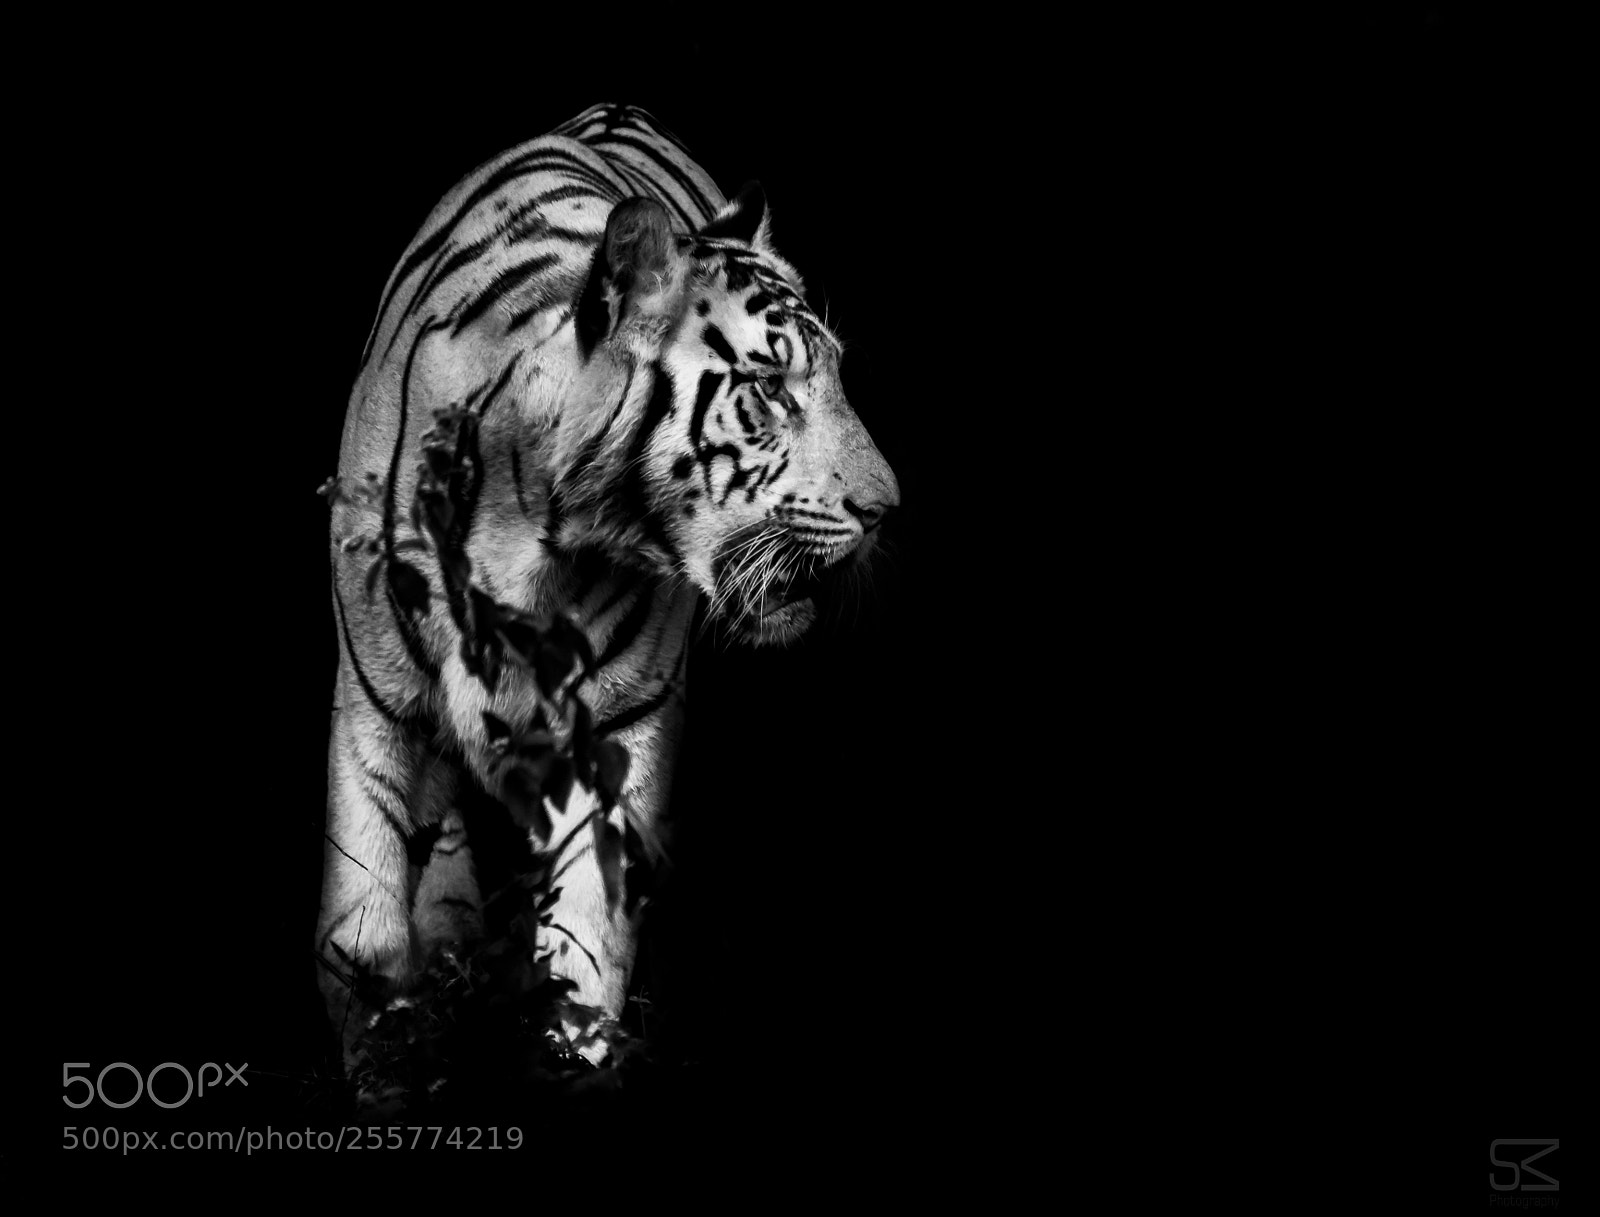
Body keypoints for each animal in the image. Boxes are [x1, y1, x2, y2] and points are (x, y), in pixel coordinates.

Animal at [318, 103, 898, 1067]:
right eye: (771, 388)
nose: (887, 506)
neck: (530, 524)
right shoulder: (379, 713)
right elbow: (365, 941)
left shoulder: (621, 731)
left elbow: (586, 954)